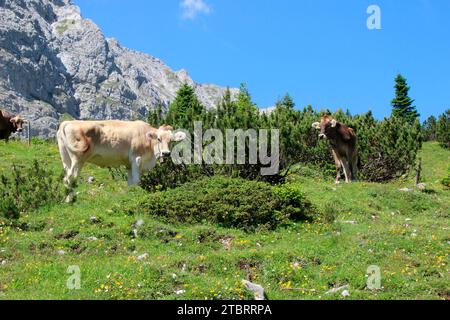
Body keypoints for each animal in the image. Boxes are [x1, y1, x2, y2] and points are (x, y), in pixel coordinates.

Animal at [56, 121, 186, 189]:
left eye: (172, 140)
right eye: (159, 139)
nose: (166, 153)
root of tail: (68, 122)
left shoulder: (129, 164)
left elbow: (130, 182)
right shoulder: (136, 159)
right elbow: (136, 181)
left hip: (65, 158)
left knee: (66, 176)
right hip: (77, 158)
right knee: (71, 177)